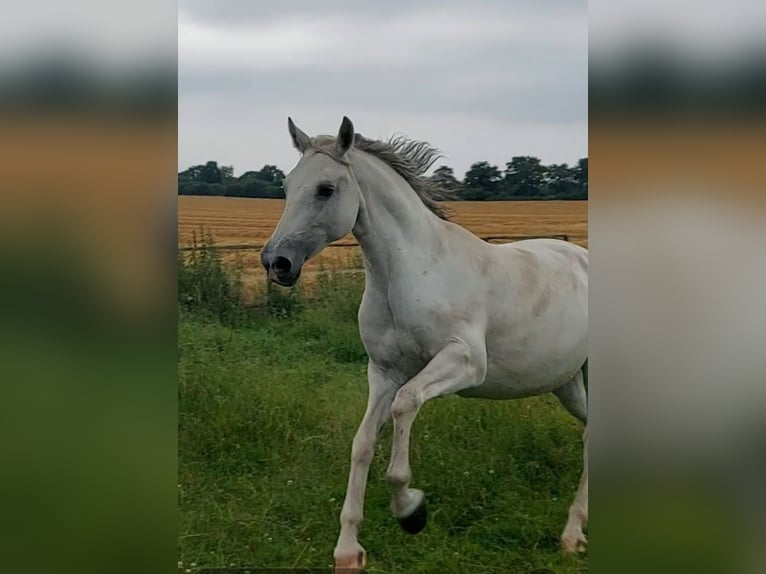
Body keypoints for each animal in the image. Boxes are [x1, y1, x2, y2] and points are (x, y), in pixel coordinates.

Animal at [260, 116, 592, 572]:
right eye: (287, 185)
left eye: (326, 188)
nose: (276, 263)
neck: (409, 273)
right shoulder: (383, 372)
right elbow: (363, 443)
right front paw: (347, 552)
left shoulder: (464, 363)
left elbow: (405, 408)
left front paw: (411, 511)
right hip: (568, 384)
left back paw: (572, 535)